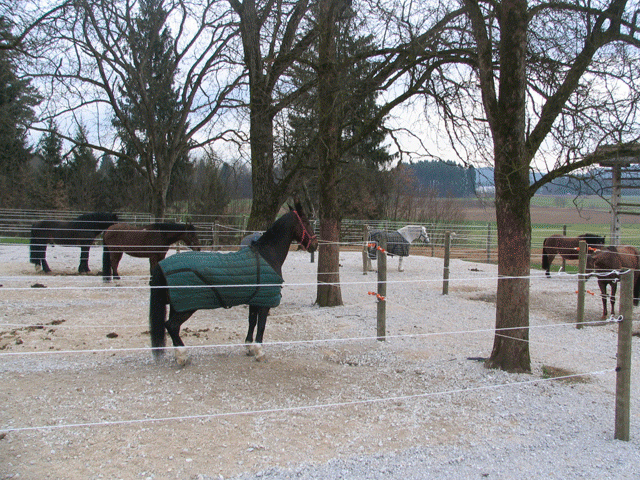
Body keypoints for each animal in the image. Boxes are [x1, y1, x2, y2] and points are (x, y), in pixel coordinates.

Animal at [151, 202, 320, 364]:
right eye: (306, 222)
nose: (315, 244)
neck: (267, 255)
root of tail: (162, 266)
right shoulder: (264, 302)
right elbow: (261, 325)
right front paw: (260, 352)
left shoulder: (255, 299)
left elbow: (252, 321)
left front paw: (249, 347)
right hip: (186, 306)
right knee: (171, 326)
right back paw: (183, 356)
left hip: (178, 305)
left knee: (173, 327)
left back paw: (178, 355)